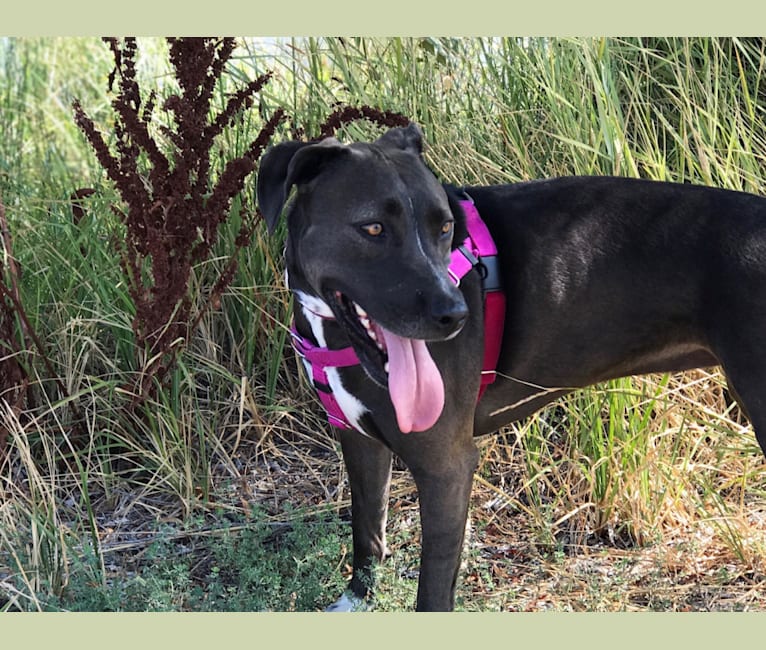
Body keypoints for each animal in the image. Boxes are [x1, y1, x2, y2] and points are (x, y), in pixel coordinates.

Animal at [258, 124, 766, 612]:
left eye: (445, 227)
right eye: (373, 228)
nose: (456, 314)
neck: (333, 329)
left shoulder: (446, 466)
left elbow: (433, 588)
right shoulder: (359, 439)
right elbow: (367, 530)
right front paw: (358, 600)